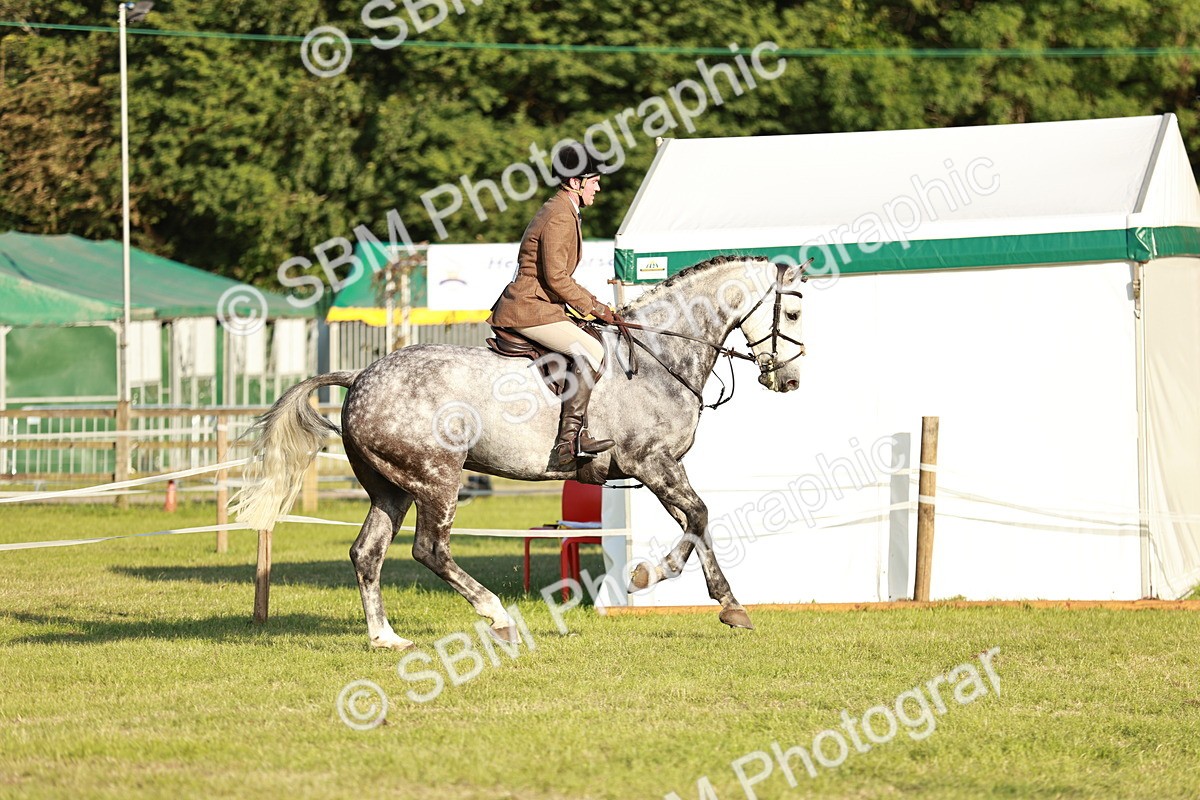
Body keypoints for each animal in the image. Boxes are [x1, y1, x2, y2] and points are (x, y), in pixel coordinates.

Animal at [231, 255, 806, 650]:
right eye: (797, 311)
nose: (791, 381)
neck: (659, 356)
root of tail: (361, 375)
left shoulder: (663, 467)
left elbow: (697, 522)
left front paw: (729, 606)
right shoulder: (652, 463)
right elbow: (700, 516)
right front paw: (654, 577)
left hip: (391, 489)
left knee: (367, 553)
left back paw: (385, 638)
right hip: (438, 481)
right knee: (430, 550)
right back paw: (499, 616)